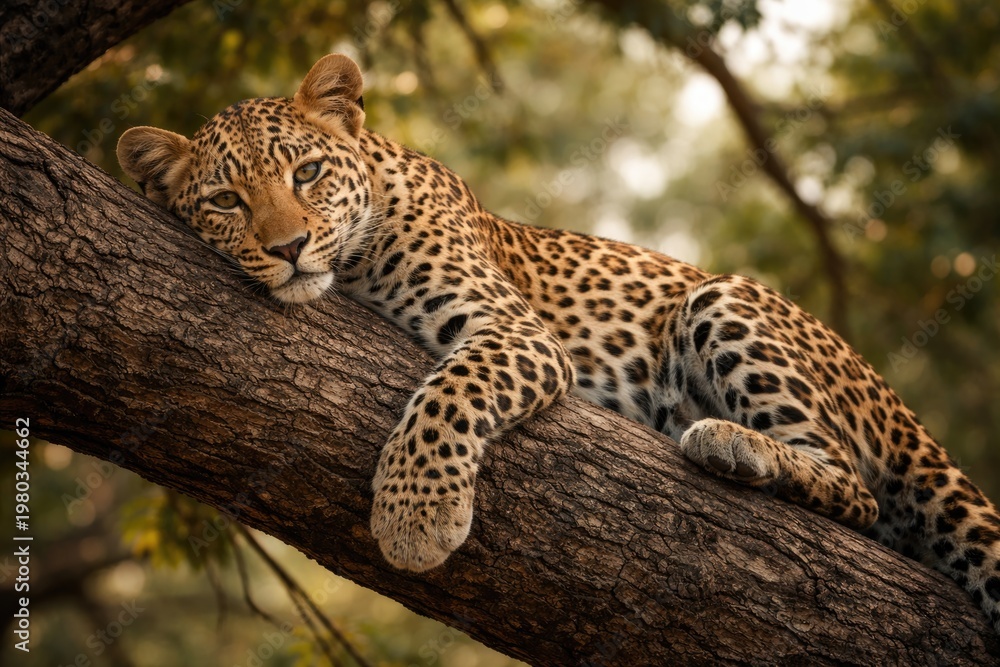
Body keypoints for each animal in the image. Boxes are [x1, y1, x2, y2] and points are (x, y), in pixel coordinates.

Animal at [117, 54, 1000, 635]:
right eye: (226, 201)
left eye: (305, 173)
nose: (291, 247)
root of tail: (887, 391)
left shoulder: (515, 330)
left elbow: (448, 393)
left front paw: (415, 516)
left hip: (722, 297)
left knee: (855, 488)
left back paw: (731, 443)